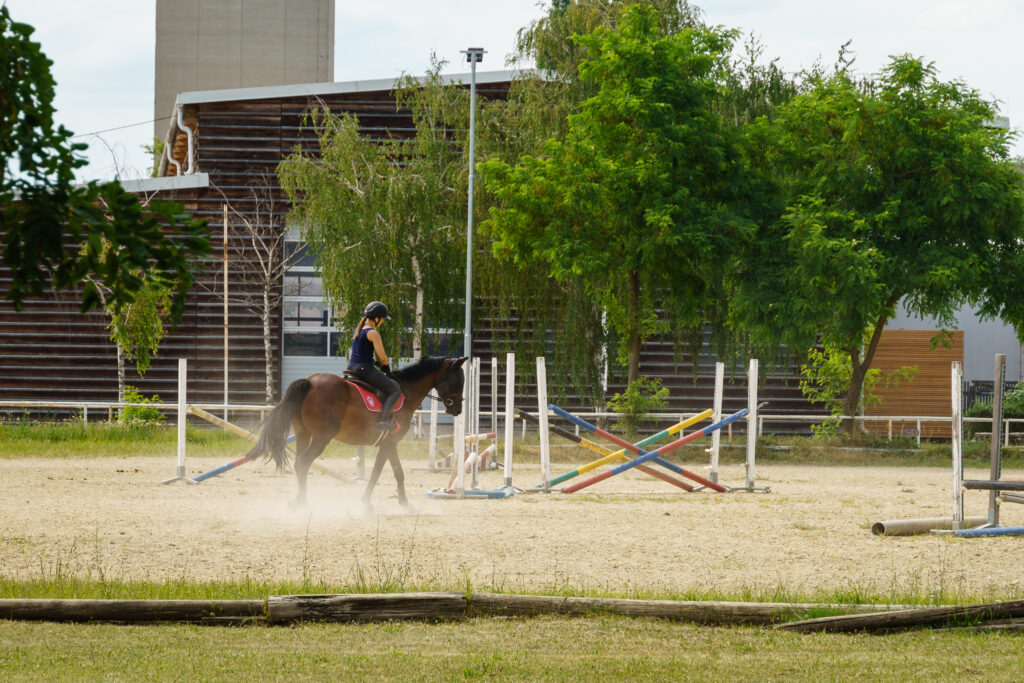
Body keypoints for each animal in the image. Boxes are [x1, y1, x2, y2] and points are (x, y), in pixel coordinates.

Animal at [249, 356, 466, 509]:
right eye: (459, 381)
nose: (458, 409)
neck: (406, 391)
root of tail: (310, 381)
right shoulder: (388, 443)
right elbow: (378, 472)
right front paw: (366, 501)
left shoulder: (390, 443)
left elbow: (398, 472)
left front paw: (405, 504)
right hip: (322, 437)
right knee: (303, 463)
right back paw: (303, 503)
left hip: (304, 433)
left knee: (299, 463)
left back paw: (298, 500)